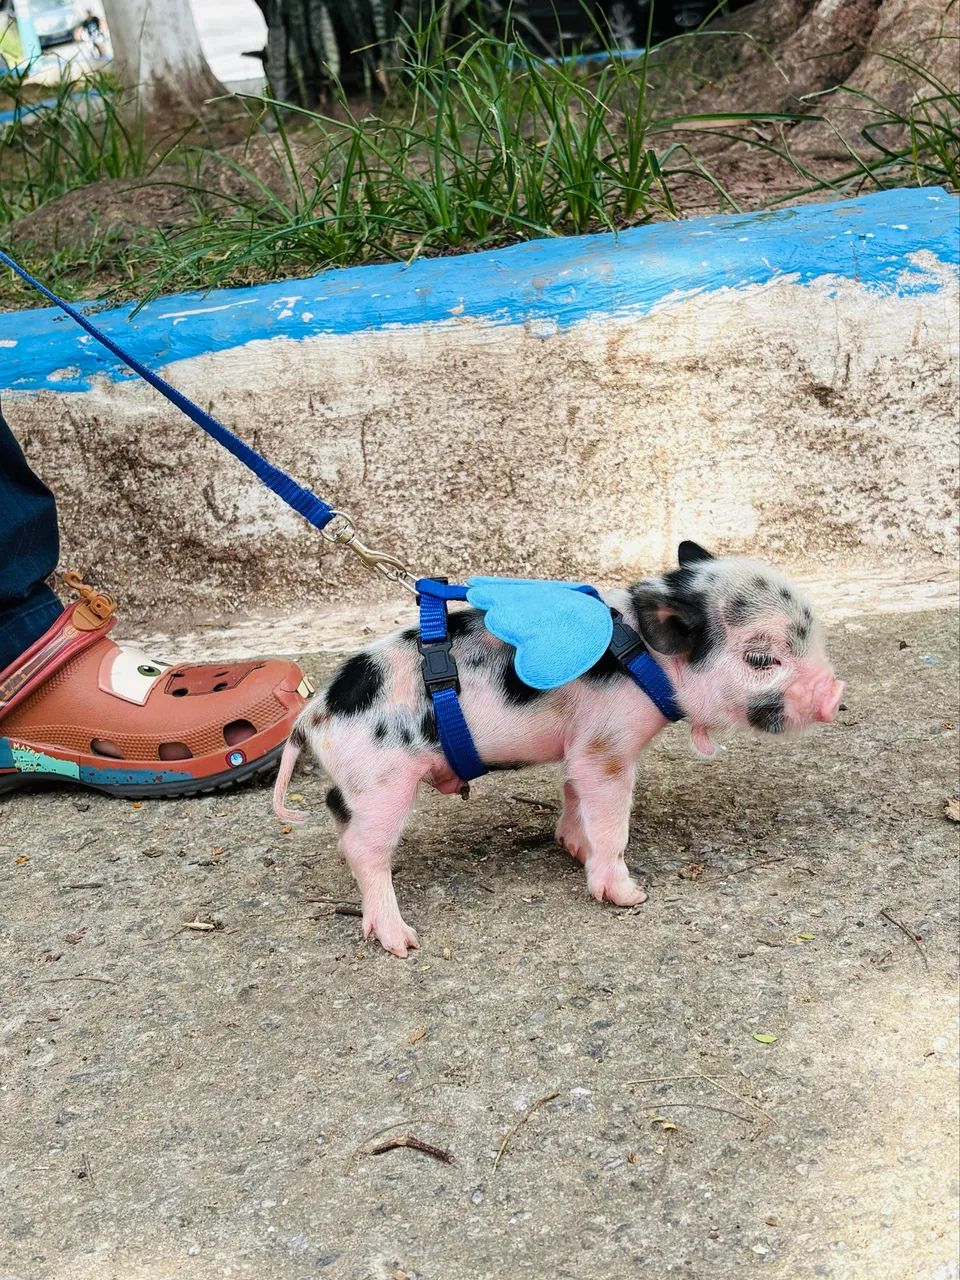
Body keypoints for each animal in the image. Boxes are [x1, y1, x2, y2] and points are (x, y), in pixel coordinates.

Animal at [274, 542, 844, 956]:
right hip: (383, 782)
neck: (646, 656)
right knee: (363, 849)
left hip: (358, 785)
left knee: (337, 815)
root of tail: (312, 716)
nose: (836, 694)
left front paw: (573, 847)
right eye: (760, 659)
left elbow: (573, 791)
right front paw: (629, 895)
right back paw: (402, 942)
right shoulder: (608, 745)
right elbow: (609, 816)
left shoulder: (580, 741)